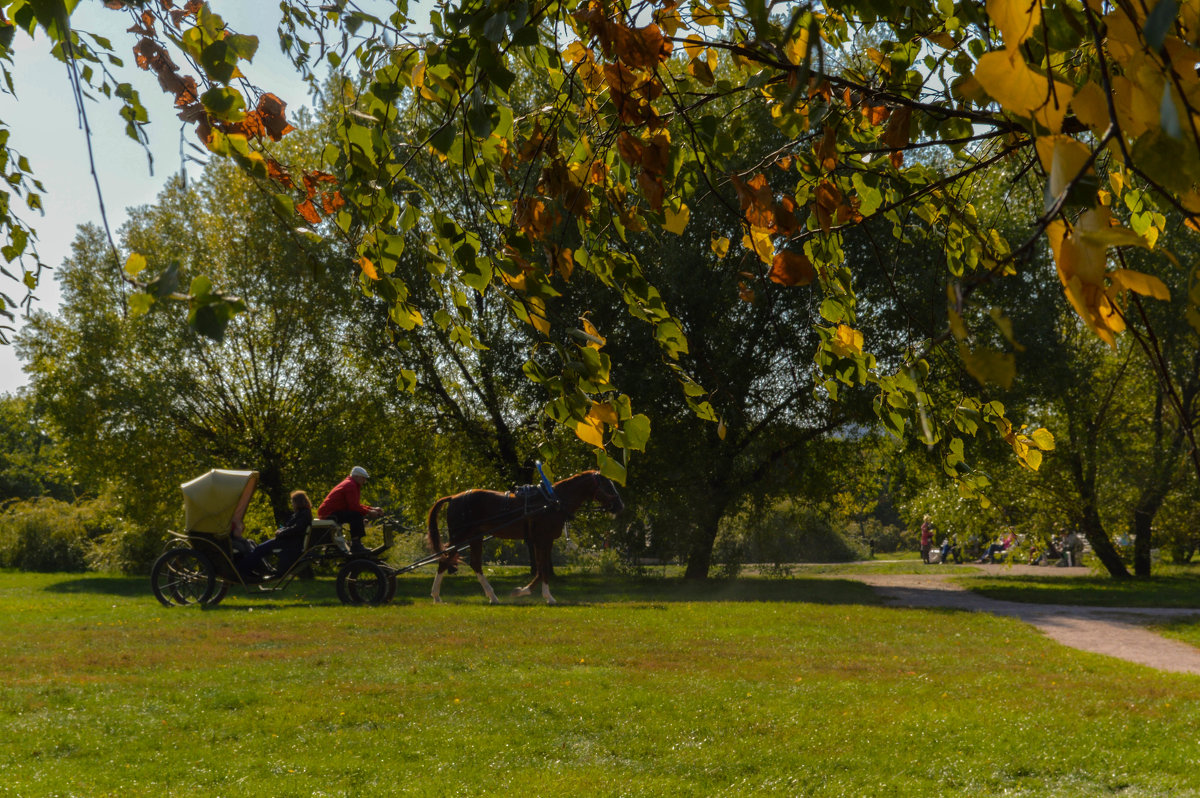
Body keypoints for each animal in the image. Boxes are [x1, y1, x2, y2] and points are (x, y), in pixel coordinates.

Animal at [424, 468, 628, 604]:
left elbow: (541, 569)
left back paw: (492, 596)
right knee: (445, 559)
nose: (620, 506)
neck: (552, 501)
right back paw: (436, 596)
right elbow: (543, 568)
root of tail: (453, 497)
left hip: (475, 538)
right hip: (460, 536)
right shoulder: (543, 539)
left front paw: (523, 591)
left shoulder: (540, 541)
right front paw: (547, 596)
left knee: (474, 563)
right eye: (608, 485)